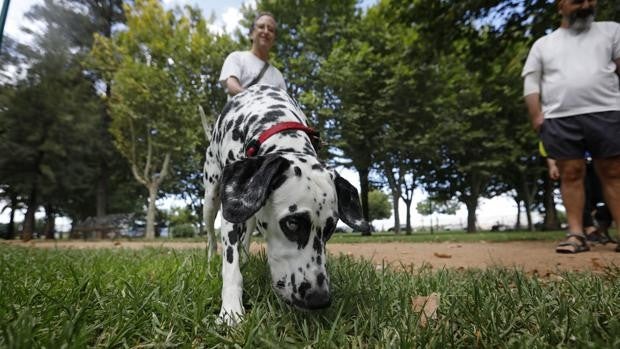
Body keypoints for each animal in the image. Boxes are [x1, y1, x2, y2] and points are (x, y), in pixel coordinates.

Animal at [202, 83, 368, 324]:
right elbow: (231, 266)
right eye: (292, 223)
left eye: (330, 229)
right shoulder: (231, 211)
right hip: (211, 197)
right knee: (211, 237)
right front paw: (231, 311)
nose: (319, 299)